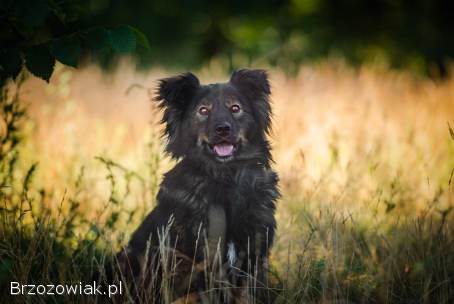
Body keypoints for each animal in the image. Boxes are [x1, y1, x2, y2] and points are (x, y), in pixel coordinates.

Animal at [115, 69, 278, 304]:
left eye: (235, 108)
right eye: (203, 110)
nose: (222, 129)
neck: (224, 179)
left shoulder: (252, 259)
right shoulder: (194, 262)